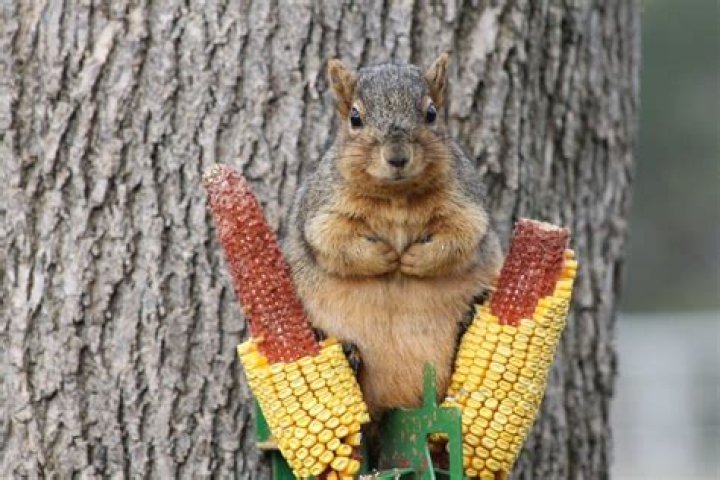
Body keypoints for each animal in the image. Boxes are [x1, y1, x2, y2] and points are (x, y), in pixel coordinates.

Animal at [285, 53, 503, 418]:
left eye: (431, 113)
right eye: (355, 118)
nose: (397, 157)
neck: (396, 196)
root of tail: (398, 404)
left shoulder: (467, 204)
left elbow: (462, 236)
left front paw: (414, 260)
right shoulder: (321, 209)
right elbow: (333, 241)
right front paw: (385, 258)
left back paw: (468, 320)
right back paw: (347, 354)